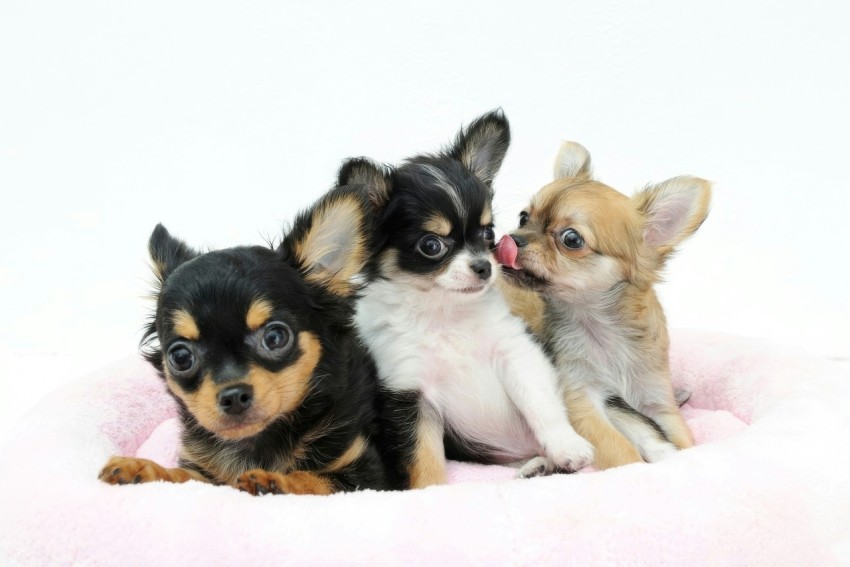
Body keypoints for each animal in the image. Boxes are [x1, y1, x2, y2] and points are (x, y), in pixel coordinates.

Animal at [97, 187, 400, 496]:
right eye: (180, 357)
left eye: (275, 338)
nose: (233, 396)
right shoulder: (207, 476)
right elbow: (186, 476)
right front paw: (144, 469)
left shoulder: (367, 477)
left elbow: (313, 479)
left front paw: (275, 480)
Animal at [342, 111, 592, 488]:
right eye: (431, 245)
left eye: (488, 232)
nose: (484, 267)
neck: (445, 313)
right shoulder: (410, 391)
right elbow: (423, 458)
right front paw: (432, 492)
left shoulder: (517, 354)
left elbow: (541, 404)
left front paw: (567, 444)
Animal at [494, 142, 712, 470]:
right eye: (523, 218)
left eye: (571, 239)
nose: (510, 239)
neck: (604, 328)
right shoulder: (581, 397)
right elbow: (621, 451)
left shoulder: (659, 403)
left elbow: (683, 440)